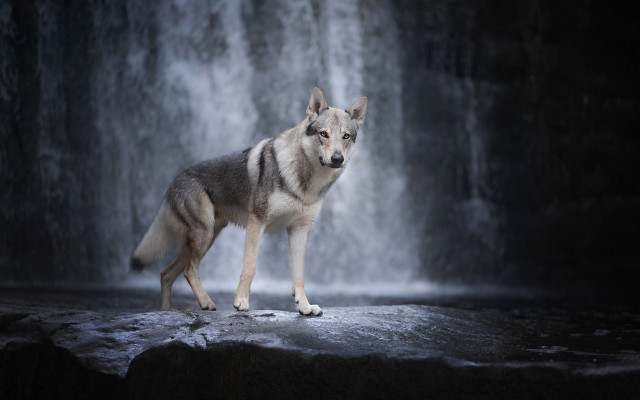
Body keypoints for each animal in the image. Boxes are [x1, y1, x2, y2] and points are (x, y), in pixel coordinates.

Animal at [131, 87, 367, 316]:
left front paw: (305, 307)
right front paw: (241, 302)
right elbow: (250, 266)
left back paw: (166, 312)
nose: (337, 159)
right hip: (203, 236)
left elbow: (299, 276)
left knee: (166, 274)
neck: (305, 182)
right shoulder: (257, 222)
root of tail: (173, 183)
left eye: (346, 136)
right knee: (188, 270)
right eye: (323, 134)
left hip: (204, 239)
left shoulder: (299, 230)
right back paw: (206, 303)